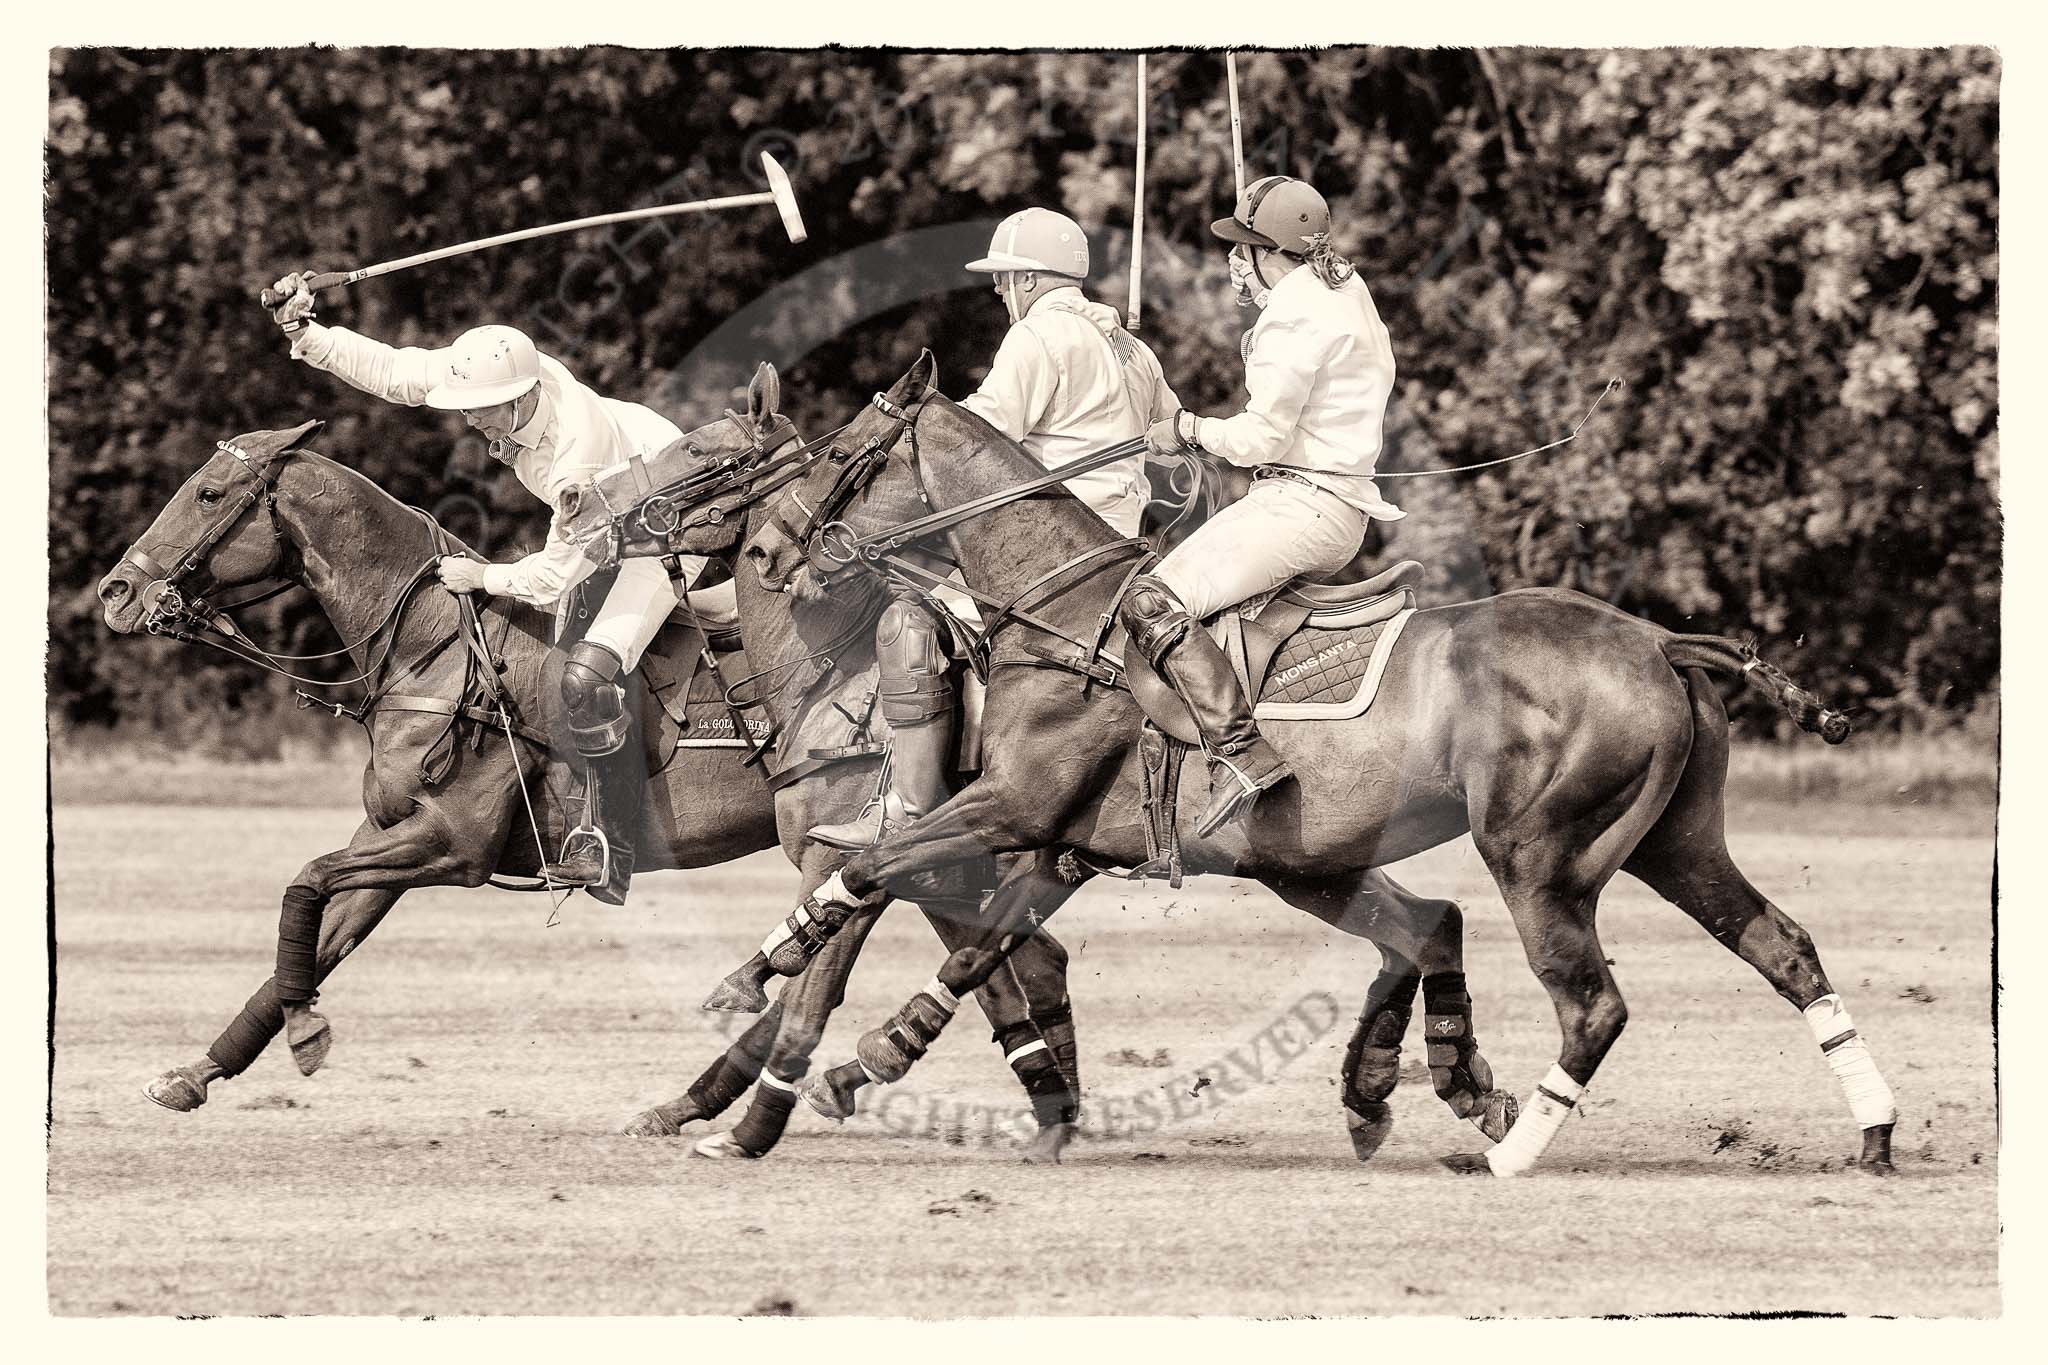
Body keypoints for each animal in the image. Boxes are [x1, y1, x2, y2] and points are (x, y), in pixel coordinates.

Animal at [96, 409, 1081, 1162]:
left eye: (209, 494)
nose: (114, 592)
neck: (429, 644)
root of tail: (956, 639)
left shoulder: (448, 843)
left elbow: (301, 880)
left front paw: (305, 1035)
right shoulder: (390, 838)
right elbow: (307, 939)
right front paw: (196, 1072)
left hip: (844, 835)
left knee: (863, 958)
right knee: (1008, 952)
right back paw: (1042, 1102)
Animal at [737, 358, 1900, 1178]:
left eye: (841, 452)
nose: (766, 552)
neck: (1061, 614)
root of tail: (1663, 642)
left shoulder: (1013, 805)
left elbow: (877, 867)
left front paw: (763, 975)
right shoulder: (1060, 837)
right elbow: (977, 942)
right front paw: (861, 1059)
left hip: (1537, 853)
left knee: (1590, 1002)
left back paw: (1509, 1151)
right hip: (1670, 842)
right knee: (1781, 946)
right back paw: (1874, 1133)